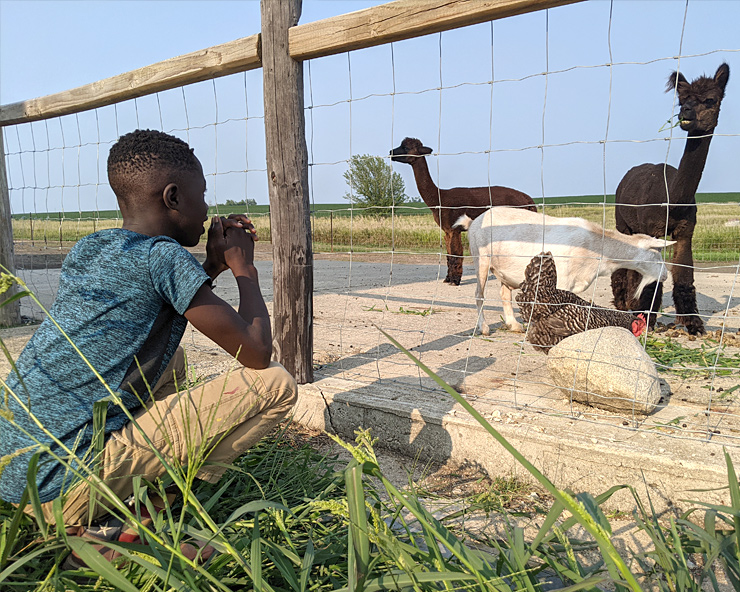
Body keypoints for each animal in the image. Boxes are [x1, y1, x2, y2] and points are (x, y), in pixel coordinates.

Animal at [454, 206, 672, 336]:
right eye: (657, 254)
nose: (665, 275)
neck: (596, 246)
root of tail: (473, 222)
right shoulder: (563, 281)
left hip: (503, 270)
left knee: (504, 294)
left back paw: (513, 325)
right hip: (481, 258)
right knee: (479, 294)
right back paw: (483, 328)